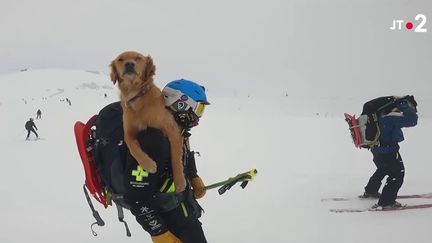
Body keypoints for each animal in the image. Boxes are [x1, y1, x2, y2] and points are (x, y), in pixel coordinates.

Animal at [110, 51, 185, 192]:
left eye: (138, 58)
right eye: (120, 59)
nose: (129, 64)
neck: (137, 97)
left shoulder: (172, 128)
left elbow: (175, 157)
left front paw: (179, 181)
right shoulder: (128, 133)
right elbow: (133, 148)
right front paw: (148, 164)